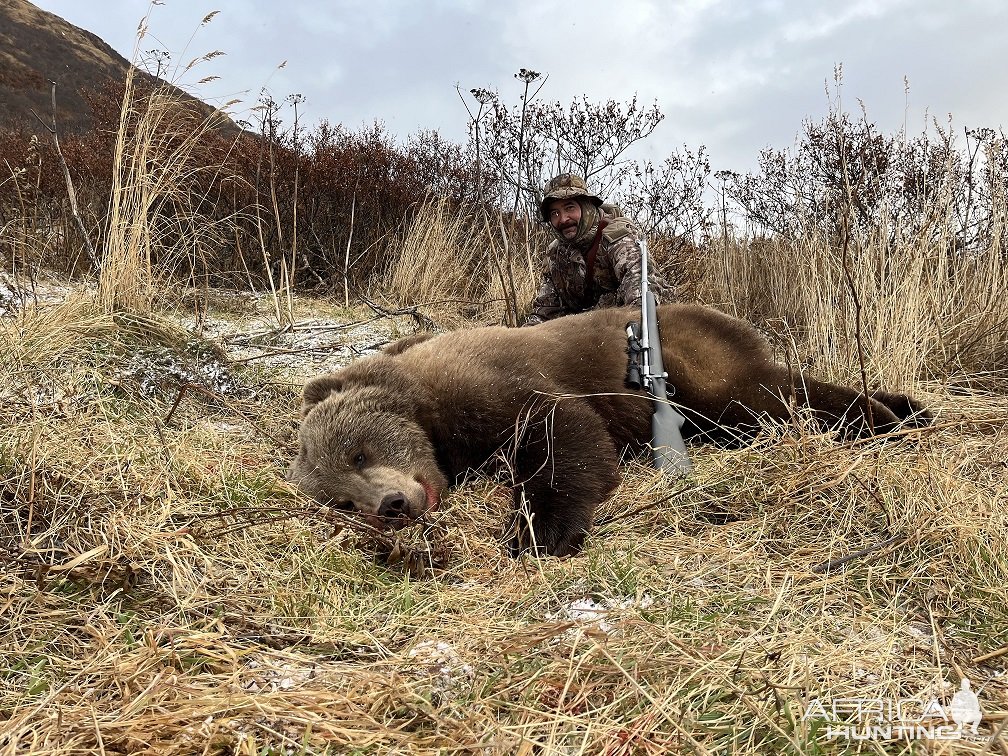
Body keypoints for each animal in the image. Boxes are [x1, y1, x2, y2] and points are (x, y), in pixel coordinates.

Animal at [284, 304, 927, 560]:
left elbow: (564, 432)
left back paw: (894, 415)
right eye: (342, 500)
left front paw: (542, 531)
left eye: (360, 451)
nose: (391, 505)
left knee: (773, 395)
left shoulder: (495, 383)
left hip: (703, 367)